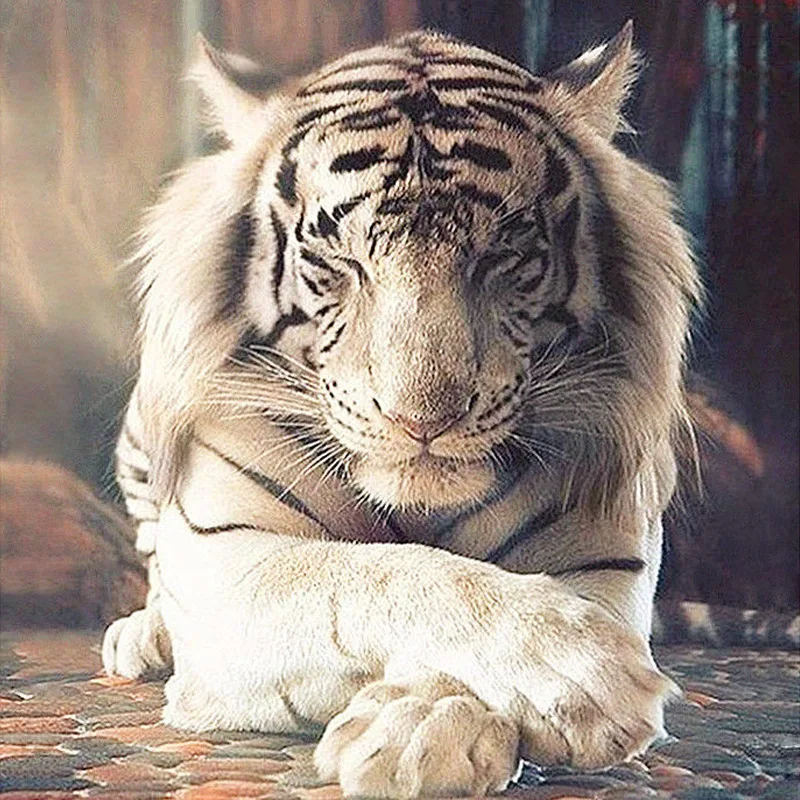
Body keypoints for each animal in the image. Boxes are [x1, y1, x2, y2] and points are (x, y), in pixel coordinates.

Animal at [103, 24, 703, 798]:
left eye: (504, 255)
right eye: (339, 261)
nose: (421, 422)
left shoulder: (603, 561)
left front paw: (424, 729)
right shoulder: (227, 562)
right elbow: (380, 574)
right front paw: (583, 671)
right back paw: (143, 635)